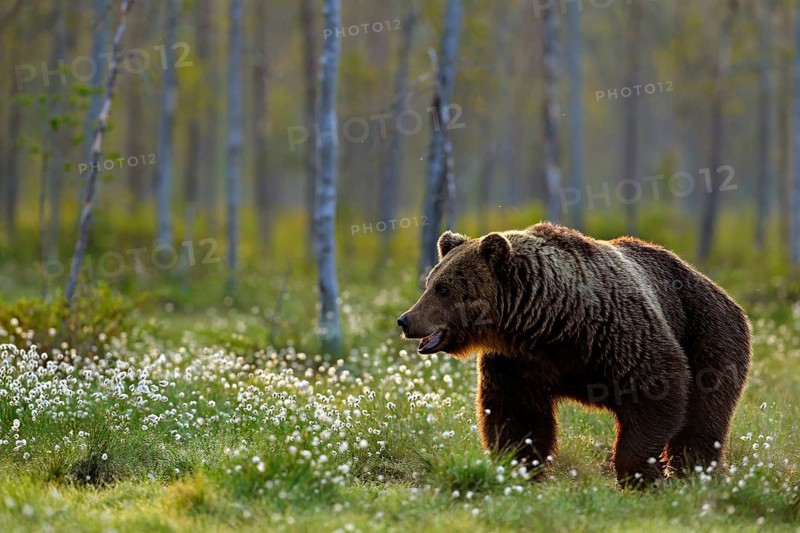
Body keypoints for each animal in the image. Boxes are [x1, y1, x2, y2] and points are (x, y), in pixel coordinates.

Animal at [397, 222, 751, 488]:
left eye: (443, 288)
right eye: (430, 282)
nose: (406, 319)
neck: (551, 323)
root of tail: (722, 292)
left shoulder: (618, 335)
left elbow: (657, 390)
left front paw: (641, 474)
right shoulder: (518, 362)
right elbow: (515, 414)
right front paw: (519, 467)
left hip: (709, 335)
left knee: (703, 418)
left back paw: (696, 473)